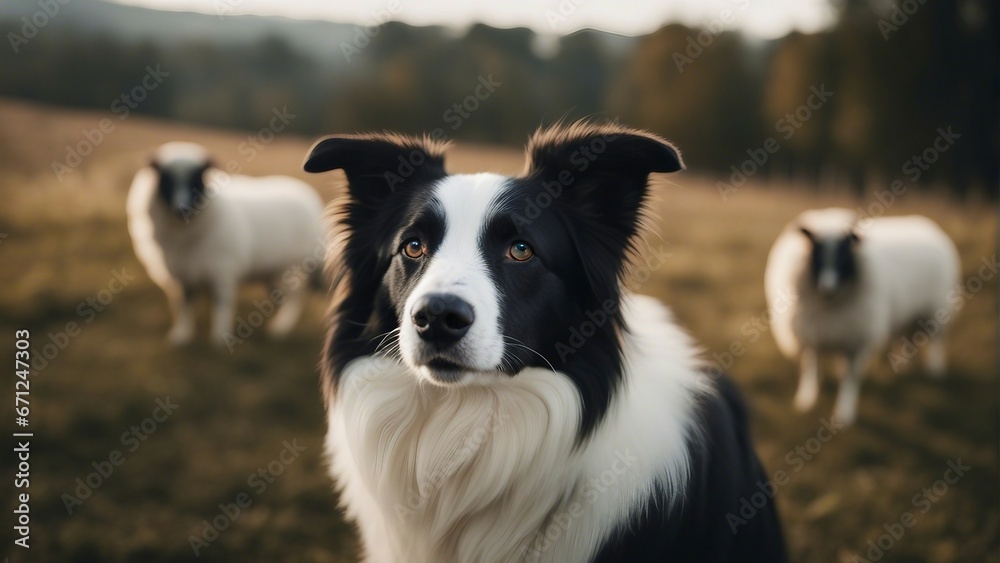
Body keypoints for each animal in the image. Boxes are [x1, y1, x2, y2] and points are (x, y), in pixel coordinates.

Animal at [125, 141, 328, 346]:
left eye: (196, 177)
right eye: (166, 179)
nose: (182, 209)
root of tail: (309, 196)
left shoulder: (222, 272)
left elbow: (221, 305)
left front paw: (219, 338)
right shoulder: (184, 274)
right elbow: (185, 305)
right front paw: (182, 335)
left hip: (291, 267)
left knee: (296, 298)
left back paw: (281, 328)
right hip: (272, 271)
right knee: (283, 296)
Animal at [764, 209, 960, 426]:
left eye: (844, 258)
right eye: (817, 257)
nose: (827, 289)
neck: (832, 305)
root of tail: (926, 224)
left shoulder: (856, 341)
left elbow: (850, 379)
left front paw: (844, 413)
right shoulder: (813, 333)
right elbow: (812, 368)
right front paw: (808, 398)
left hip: (936, 309)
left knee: (937, 340)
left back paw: (935, 370)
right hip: (907, 313)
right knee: (906, 338)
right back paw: (905, 366)